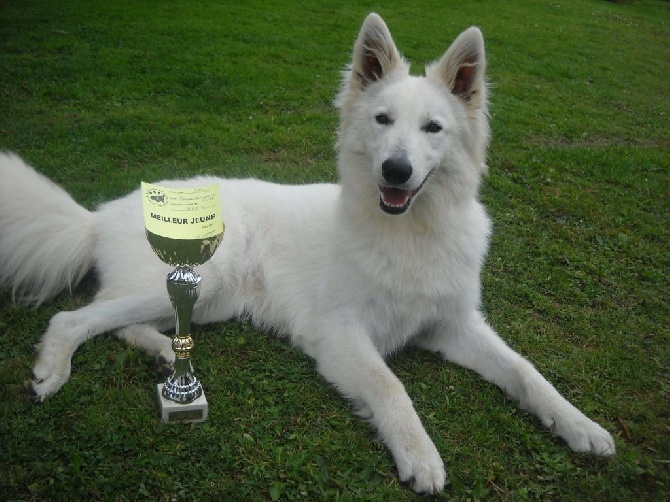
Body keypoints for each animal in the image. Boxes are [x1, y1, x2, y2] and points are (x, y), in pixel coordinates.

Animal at [0, 12, 616, 494]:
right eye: (383, 120)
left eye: (433, 128)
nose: (396, 170)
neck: (411, 233)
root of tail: (98, 215)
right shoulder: (341, 333)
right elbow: (392, 388)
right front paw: (420, 456)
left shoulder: (454, 325)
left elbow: (525, 371)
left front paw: (578, 425)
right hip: (196, 280)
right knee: (72, 318)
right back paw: (54, 370)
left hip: (205, 298)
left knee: (120, 322)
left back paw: (159, 352)